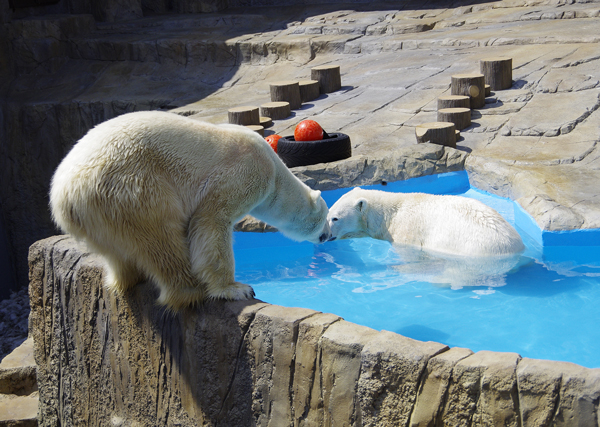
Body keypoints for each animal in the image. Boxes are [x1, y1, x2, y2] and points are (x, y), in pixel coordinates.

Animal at [51, 111, 330, 310]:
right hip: (131, 186)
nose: (327, 236)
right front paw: (235, 288)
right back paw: (191, 290)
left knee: (120, 250)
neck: (274, 170)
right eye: (325, 220)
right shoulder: (242, 173)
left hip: (100, 212)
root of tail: (63, 193)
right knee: (161, 234)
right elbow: (212, 220)